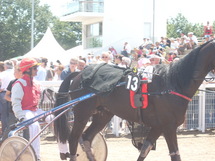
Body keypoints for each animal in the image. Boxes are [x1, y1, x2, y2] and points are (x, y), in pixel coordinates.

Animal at [53, 39, 215, 161]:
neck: (172, 83)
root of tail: (79, 73)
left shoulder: (158, 126)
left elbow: (144, 150)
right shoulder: (168, 127)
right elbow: (175, 155)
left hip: (102, 114)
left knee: (86, 138)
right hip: (82, 113)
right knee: (73, 139)